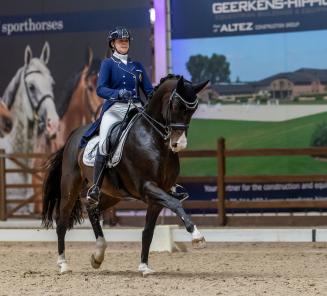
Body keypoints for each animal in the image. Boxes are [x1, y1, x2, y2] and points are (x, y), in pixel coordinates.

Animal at [42, 74, 209, 276]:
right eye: (176, 105)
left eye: (194, 109)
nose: (179, 144)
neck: (153, 138)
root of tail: (74, 134)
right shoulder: (147, 187)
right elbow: (176, 204)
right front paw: (197, 236)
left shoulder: (157, 197)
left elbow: (148, 232)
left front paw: (144, 266)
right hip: (70, 186)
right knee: (62, 221)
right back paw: (63, 264)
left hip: (112, 194)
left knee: (92, 208)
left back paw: (98, 255)